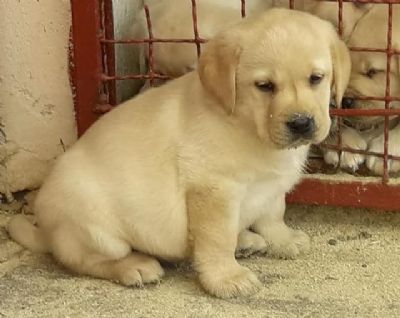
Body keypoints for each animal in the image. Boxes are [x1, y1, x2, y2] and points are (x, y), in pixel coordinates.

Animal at [7, 9, 348, 298]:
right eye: (264, 86)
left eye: (316, 78)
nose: (302, 123)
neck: (244, 124)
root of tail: (48, 232)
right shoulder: (213, 191)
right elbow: (217, 239)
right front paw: (226, 278)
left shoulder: (271, 186)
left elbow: (273, 213)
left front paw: (283, 239)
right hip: (94, 227)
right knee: (86, 260)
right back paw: (134, 266)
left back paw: (247, 240)